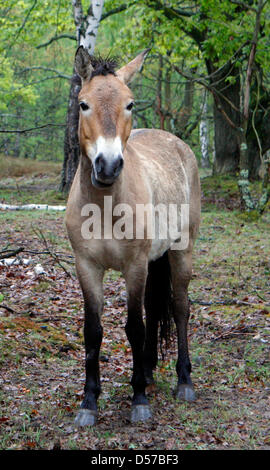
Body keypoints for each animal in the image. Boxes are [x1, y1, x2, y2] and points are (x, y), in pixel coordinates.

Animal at [65, 46, 200, 426]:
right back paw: (150, 372)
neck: (105, 208)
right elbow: (93, 331)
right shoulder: (87, 267)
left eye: (129, 104)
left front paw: (139, 400)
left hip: (181, 252)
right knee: (155, 308)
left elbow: (134, 327)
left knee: (180, 308)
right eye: (83, 104)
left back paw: (183, 381)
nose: (108, 166)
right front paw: (89, 402)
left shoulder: (134, 266)